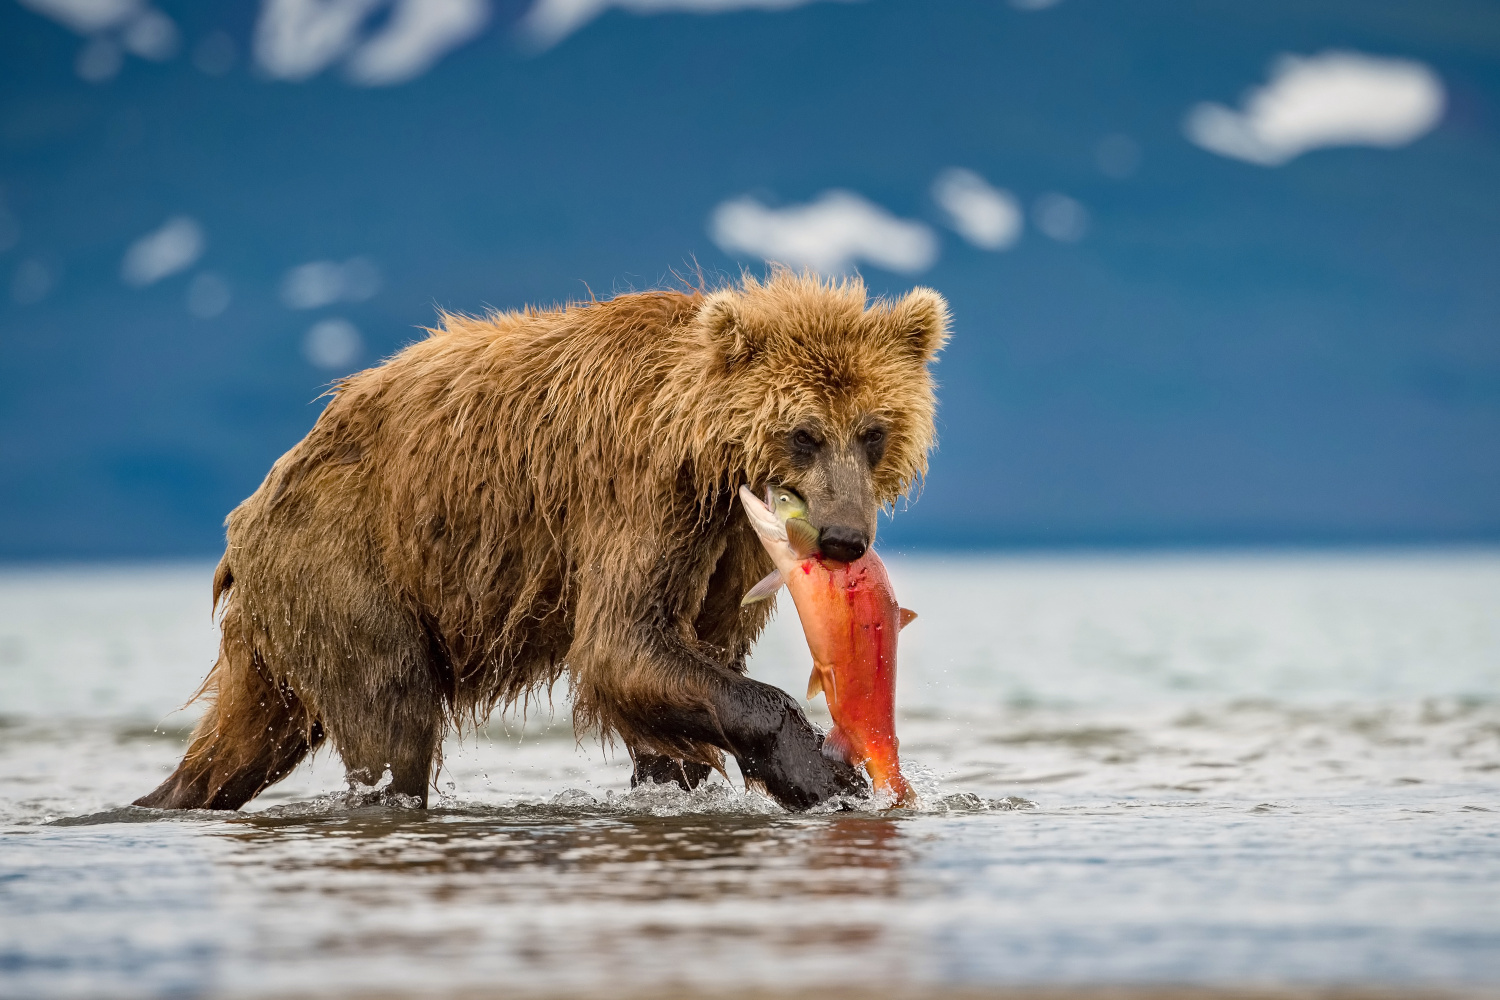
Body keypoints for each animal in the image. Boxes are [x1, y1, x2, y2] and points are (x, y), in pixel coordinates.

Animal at [132, 268, 948, 815]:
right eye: (804, 433)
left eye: (873, 432)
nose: (842, 539)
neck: (706, 454)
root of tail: (247, 517)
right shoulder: (638, 493)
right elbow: (623, 643)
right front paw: (827, 774)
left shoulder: (727, 550)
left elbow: (689, 660)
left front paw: (676, 779)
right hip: (347, 563)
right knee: (391, 714)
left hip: (288, 621)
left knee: (244, 737)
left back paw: (166, 797)